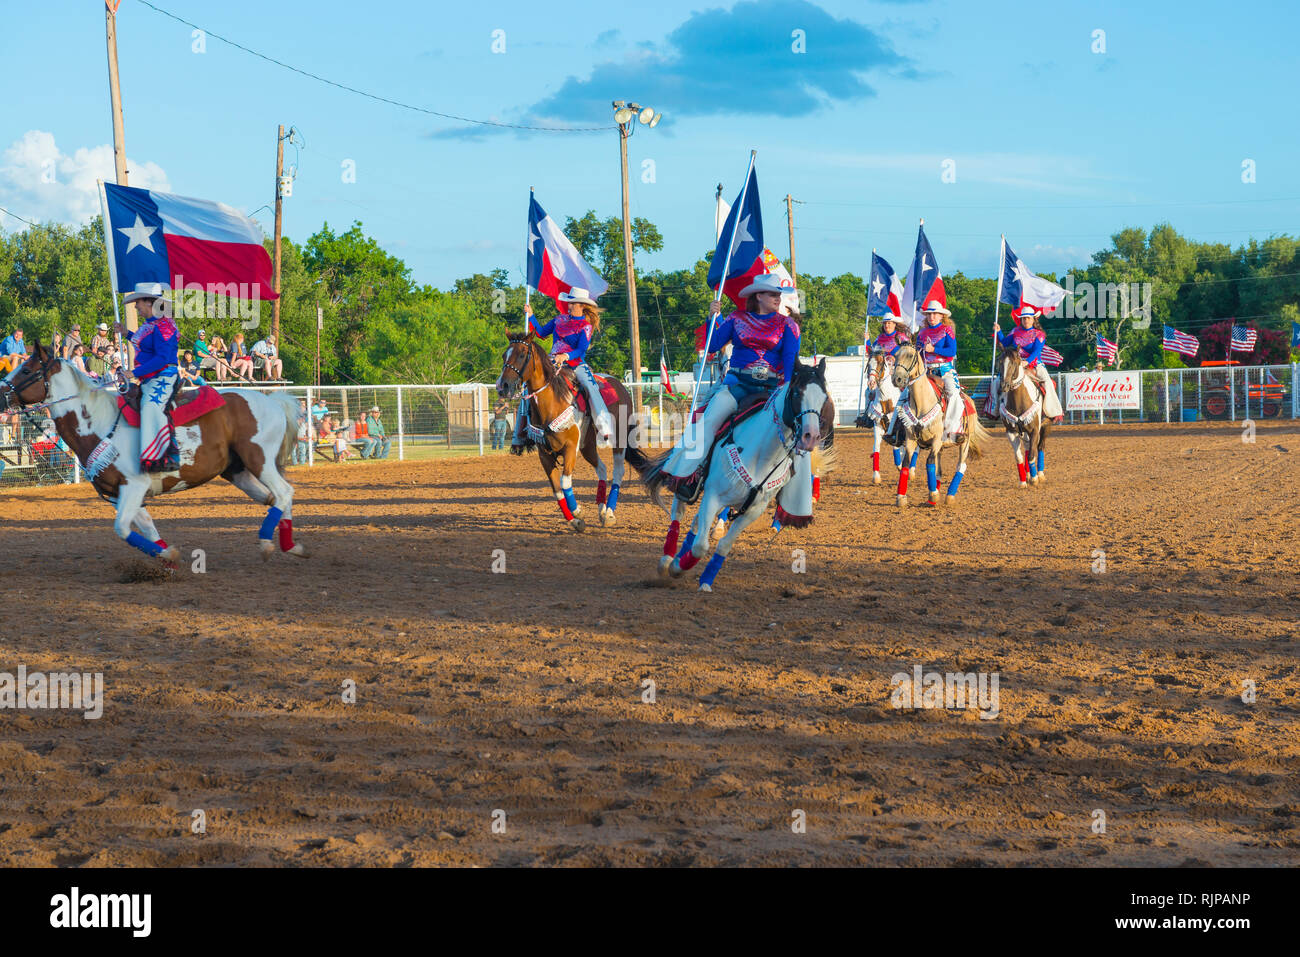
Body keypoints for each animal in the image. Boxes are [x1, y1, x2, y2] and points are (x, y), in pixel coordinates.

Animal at [1, 338, 308, 561]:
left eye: (26, 370)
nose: (2, 394)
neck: (99, 422)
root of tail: (273, 400)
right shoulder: (121, 493)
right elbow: (145, 528)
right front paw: (167, 554)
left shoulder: (134, 485)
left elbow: (122, 528)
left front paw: (166, 555)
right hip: (237, 471)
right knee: (274, 498)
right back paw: (290, 545)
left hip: (259, 460)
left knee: (283, 492)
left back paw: (269, 544)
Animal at [493, 332, 647, 530]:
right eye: (504, 355)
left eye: (521, 355)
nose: (502, 385)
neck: (552, 403)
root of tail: (618, 385)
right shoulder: (545, 454)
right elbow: (557, 489)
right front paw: (575, 520)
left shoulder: (570, 448)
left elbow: (565, 482)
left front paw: (577, 511)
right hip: (587, 445)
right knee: (602, 468)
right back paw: (601, 509)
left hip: (619, 439)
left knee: (618, 471)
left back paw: (609, 513)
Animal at [631, 358, 832, 590]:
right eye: (797, 393)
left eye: (823, 397)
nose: (811, 436)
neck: (763, 454)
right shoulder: (712, 496)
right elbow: (701, 546)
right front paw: (677, 568)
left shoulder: (753, 510)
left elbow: (724, 545)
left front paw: (705, 581)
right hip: (686, 482)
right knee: (678, 514)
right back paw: (667, 560)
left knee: (696, 524)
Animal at [889, 343, 987, 509]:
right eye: (895, 356)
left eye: (910, 355)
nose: (897, 379)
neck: (922, 401)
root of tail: (969, 400)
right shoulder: (911, 439)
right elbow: (907, 463)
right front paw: (901, 497)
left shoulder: (936, 440)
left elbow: (929, 462)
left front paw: (933, 494)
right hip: (941, 447)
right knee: (939, 470)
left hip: (965, 443)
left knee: (960, 466)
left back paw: (949, 496)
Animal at [998, 343, 1050, 488]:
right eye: (999, 361)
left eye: (1014, 363)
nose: (1004, 386)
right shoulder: (1011, 432)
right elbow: (1019, 457)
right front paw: (1023, 481)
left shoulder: (1035, 430)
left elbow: (1032, 454)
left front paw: (1035, 479)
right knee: (1026, 449)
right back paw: (1027, 475)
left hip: (1046, 426)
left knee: (1040, 447)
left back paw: (1040, 474)